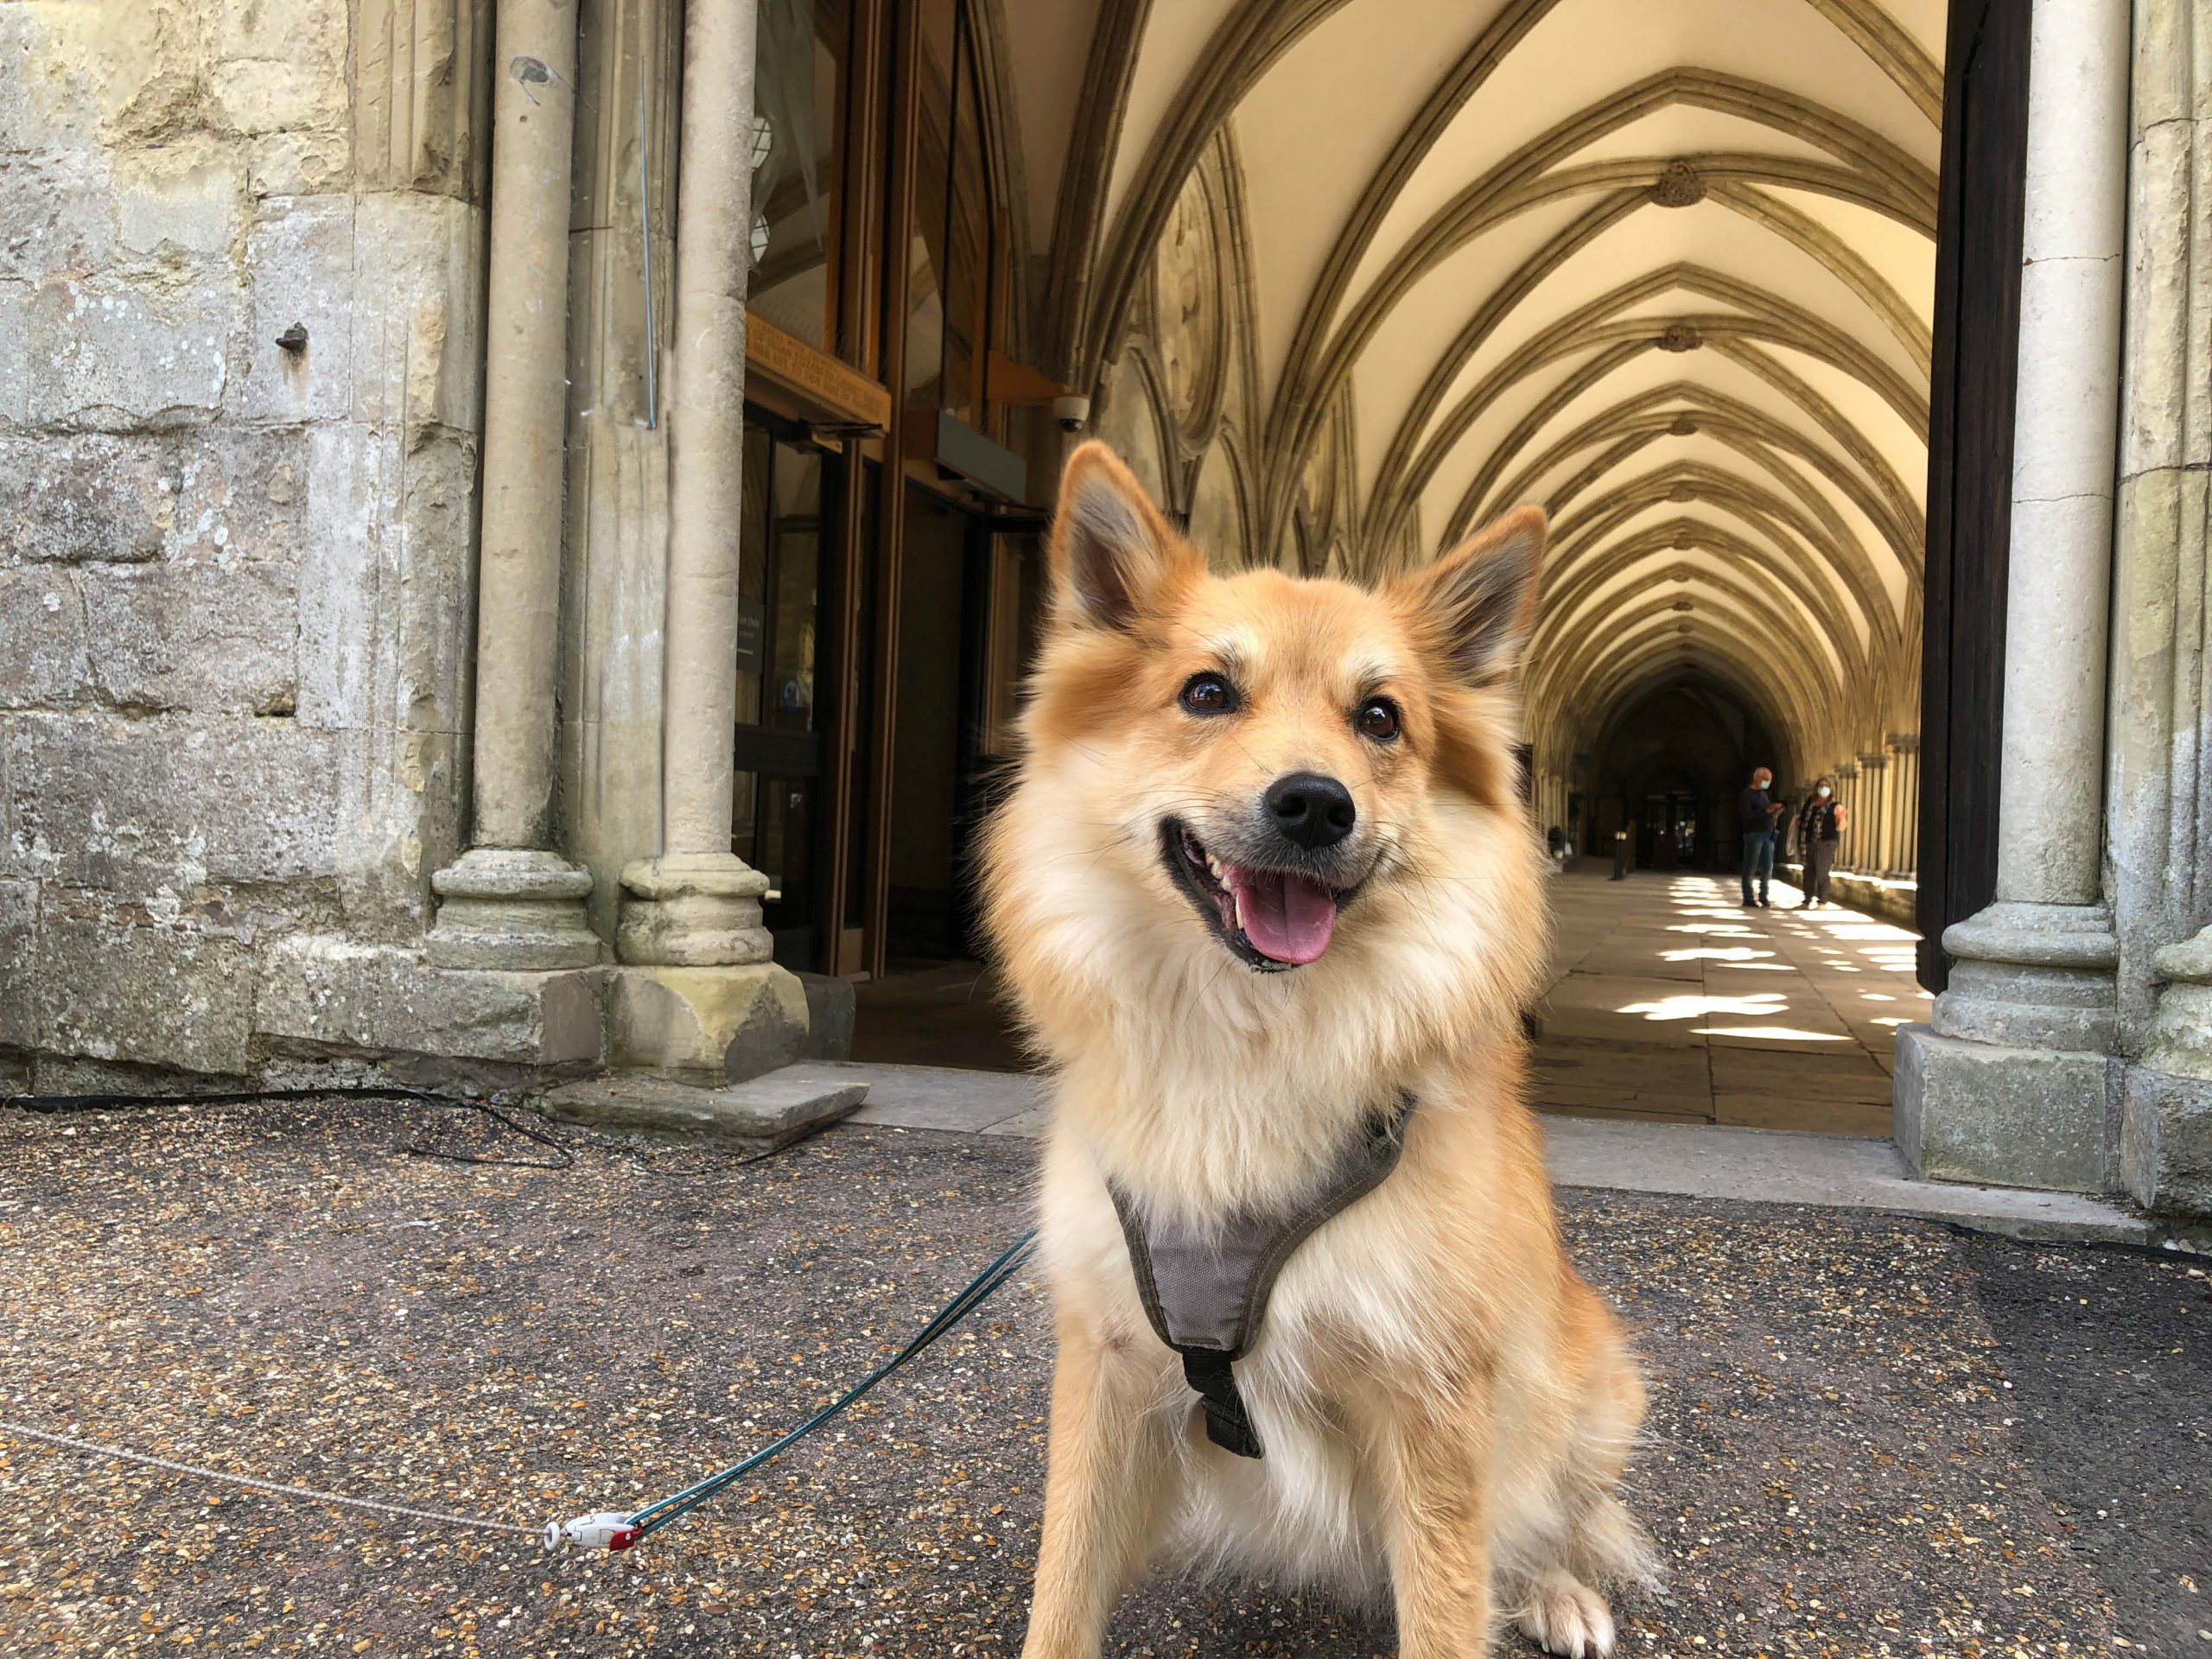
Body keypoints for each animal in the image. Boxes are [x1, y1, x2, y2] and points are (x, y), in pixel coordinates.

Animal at [990, 442, 1663, 1659]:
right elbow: (1061, 1594)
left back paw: (1558, 1588)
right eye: (1207, 692)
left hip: (1595, 1386)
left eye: (1381, 718)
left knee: (1557, 1516)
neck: (1250, 1043)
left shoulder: (1433, 1395)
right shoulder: (1105, 1359)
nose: (1314, 804)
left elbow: (1451, 1605)